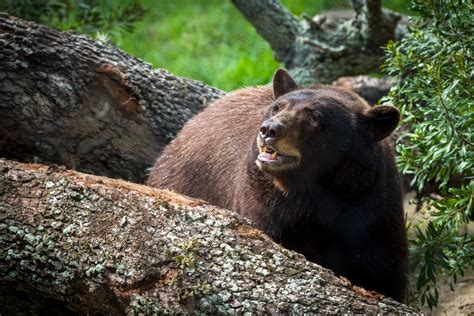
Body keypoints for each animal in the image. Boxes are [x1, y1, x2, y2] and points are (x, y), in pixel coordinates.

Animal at [147, 68, 408, 302]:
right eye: (277, 107)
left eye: (314, 117)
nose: (268, 129)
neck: (316, 195)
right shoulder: (266, 207)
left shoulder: (373, 213)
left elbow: (383, 273)